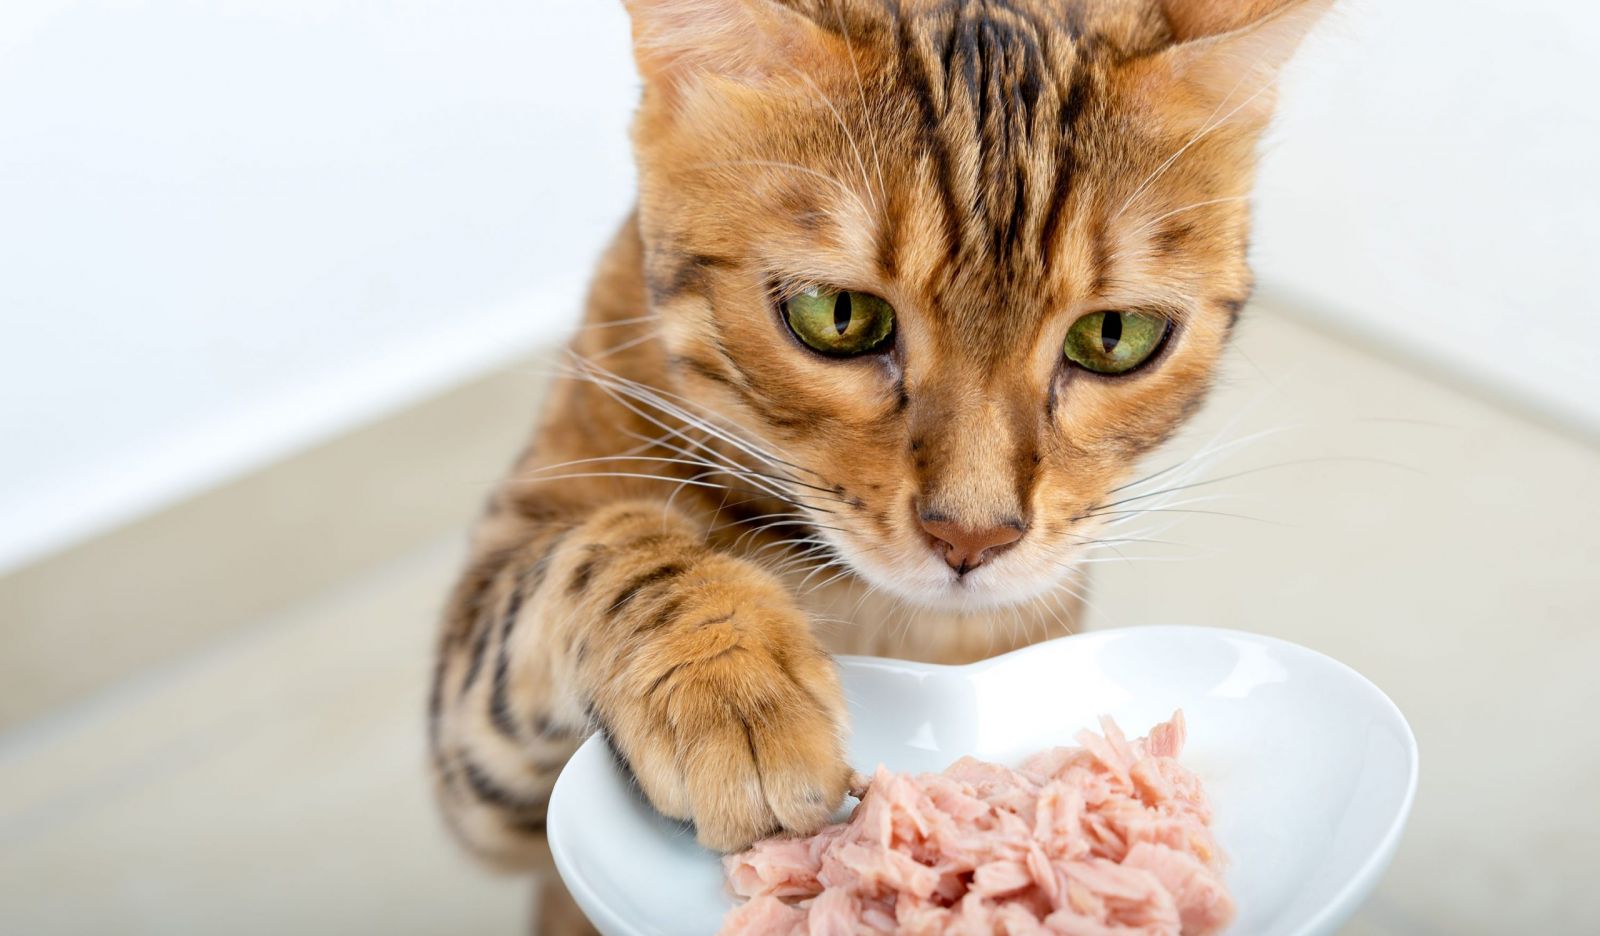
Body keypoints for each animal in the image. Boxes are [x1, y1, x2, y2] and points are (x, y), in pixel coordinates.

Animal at [428, 0, 1330, 928]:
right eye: (838, 316)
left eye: (1114, 337)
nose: (972, 537)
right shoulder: (474, 767)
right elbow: (603, 549)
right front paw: (730, 677)